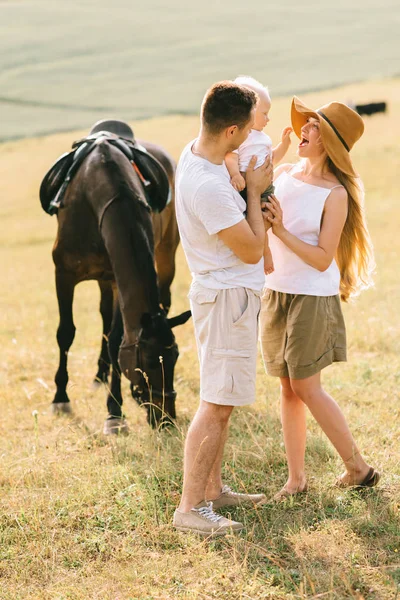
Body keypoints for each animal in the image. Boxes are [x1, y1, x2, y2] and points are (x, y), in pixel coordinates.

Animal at [46, 122, 191, 432]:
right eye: (148, 363)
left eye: (174, 358)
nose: (167, 418)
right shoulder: (63, 273)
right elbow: (65, 332)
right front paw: (60, 397)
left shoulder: (116, 278)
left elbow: (116, 341)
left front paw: (114, 411)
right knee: (101, 315)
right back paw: (98, 375)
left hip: (164, 255)